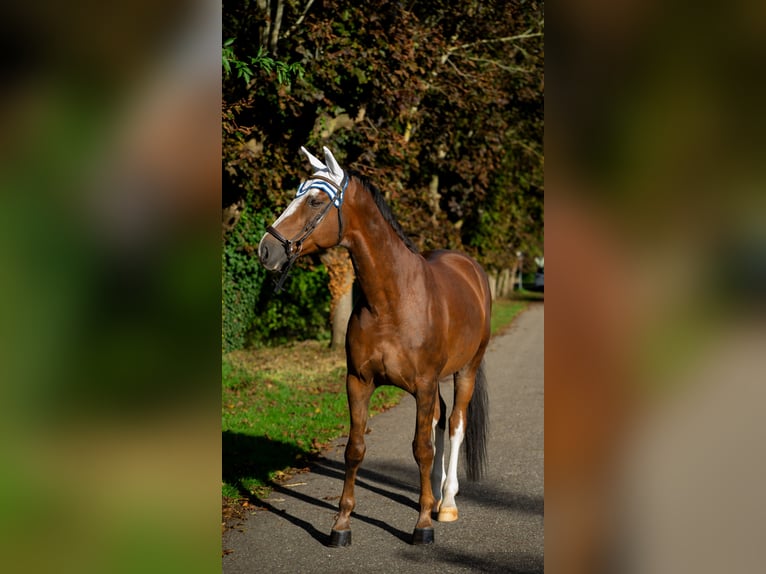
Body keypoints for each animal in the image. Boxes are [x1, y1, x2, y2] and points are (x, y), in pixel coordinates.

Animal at [258, 146, 492, 548]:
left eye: (315, 199)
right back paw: (430, 495)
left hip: (467, 370)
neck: (391, 300)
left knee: (455, 425)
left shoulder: (424, 384)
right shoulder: (359, 381)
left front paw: (423, 525)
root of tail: (471, 267)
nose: (266, 249)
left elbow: (421, 448)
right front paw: (341, 525)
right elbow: (356, 450)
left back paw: (445, 502)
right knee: (439, 419)